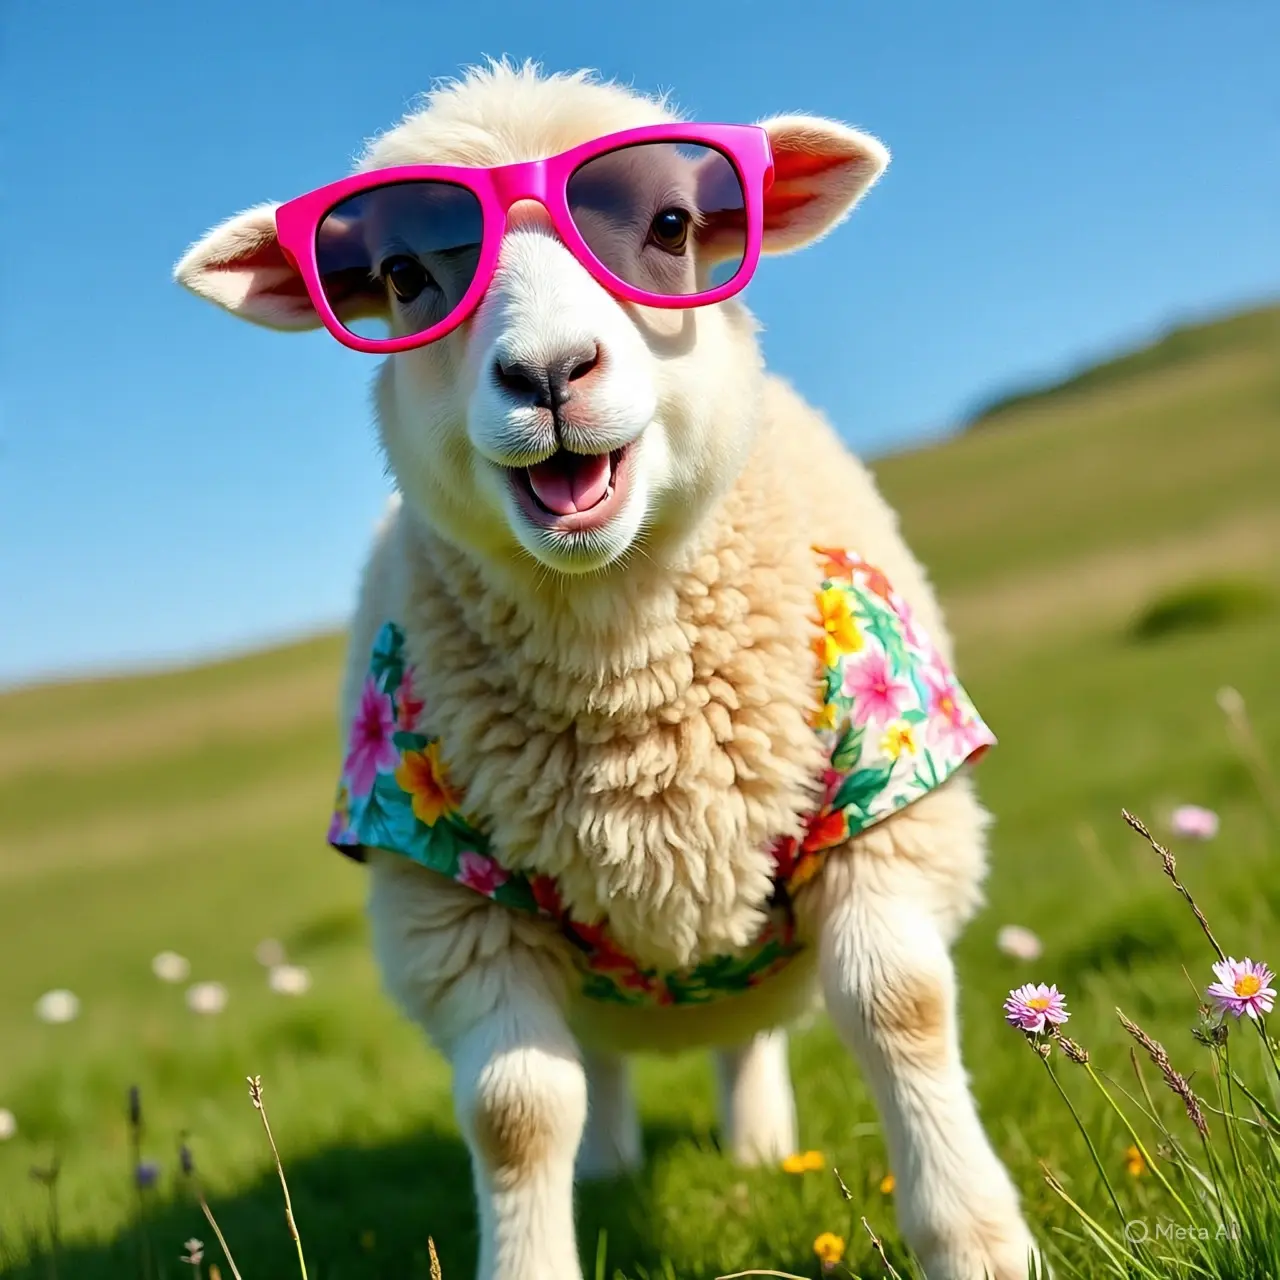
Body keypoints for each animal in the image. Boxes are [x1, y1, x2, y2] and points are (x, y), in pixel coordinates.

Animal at [175, 60, 1040, 1280]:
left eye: (668, 228)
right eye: (402, 275)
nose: (547, 372)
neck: (629, 688)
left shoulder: (890, 801)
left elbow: (897, 1003)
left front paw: (975, 1238)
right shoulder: (447, 894)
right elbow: (516, 1110)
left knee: (749, 1036)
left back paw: (758, 1144)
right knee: (598, 1061)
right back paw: (615, 1163)